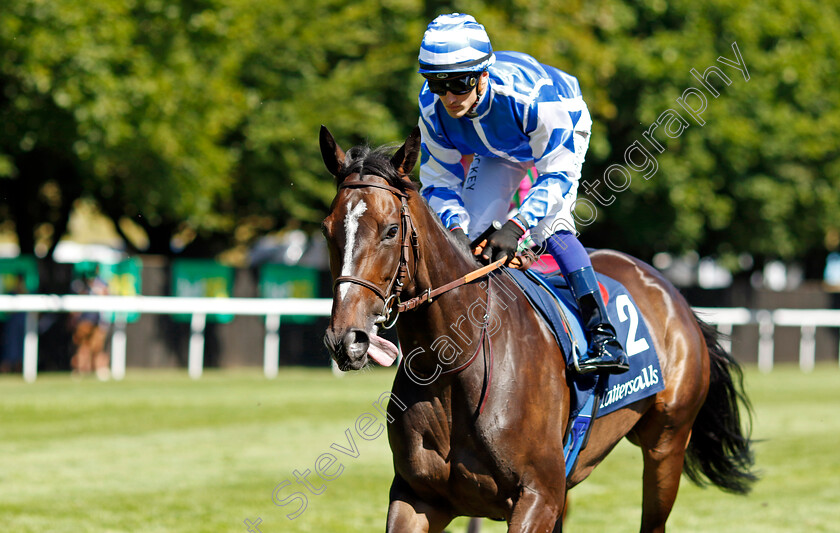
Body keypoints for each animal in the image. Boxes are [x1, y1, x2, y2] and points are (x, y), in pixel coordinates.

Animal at [320, 125, 756, 532]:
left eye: (391, 230)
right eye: (327, 229)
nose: (347, 338)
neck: (454, 368)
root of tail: (670, 292)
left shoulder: (539, 495)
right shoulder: (417, 496)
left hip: (667, 443)